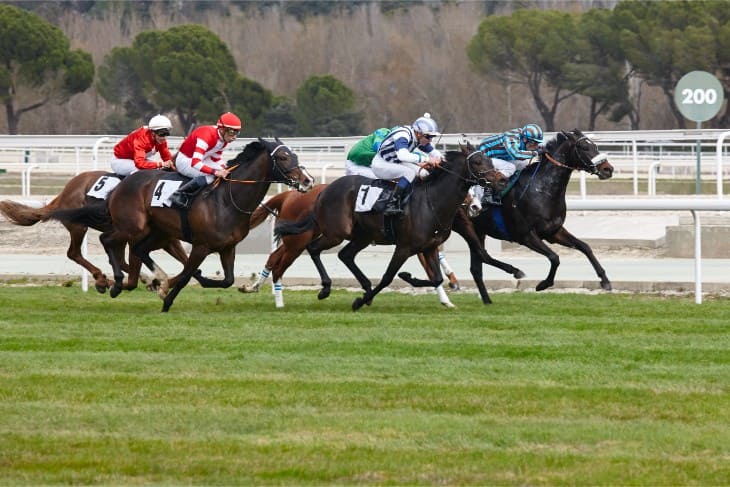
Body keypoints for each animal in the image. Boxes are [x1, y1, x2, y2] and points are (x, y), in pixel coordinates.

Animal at [0, 172, 191, 294]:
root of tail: (67, 189)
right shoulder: (136, 237)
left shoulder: (170, 240)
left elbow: (186, 263)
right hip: (79, 226)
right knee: (74, 253)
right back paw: (102, 279)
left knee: (117, 259)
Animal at [50, 137, 312, 312]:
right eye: (282, 157)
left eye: (295, 155)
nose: (308, 181)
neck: (227, 199)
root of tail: (119, 186)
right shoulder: (201, 245)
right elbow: (187, 274)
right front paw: (165, 298)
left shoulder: (227, 247)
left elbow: (226, 280)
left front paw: (162, 285)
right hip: (133, 227)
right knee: (107, 240)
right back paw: (112, 282)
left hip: (155, 232)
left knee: (138, 249)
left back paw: (143, 279)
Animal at [272, 141, 506, 310]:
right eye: (477, 162)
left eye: (489, 159)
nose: (502, 180)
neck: (432, 201)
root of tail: (323, 191)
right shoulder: (404, 247)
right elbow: (387, 277)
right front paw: (360, 301)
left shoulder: (429, 246)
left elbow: (437, 277)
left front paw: (409, 279)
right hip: (336, 233)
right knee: (313, 249)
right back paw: (326, 289)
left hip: (362, 236)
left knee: (345, 255)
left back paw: (365, 287)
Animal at [398, 130, 616, 304]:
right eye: (584, 147)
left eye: (595, 145)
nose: (608, 169)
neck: (541, 189)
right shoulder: (525, 235)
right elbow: (554, 258)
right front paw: (543, 284)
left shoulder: (553, 231)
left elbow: (585, 247)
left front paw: (605, 280)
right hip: (458, 226)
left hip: (476, 230)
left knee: (476, 267)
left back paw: (486, 299)